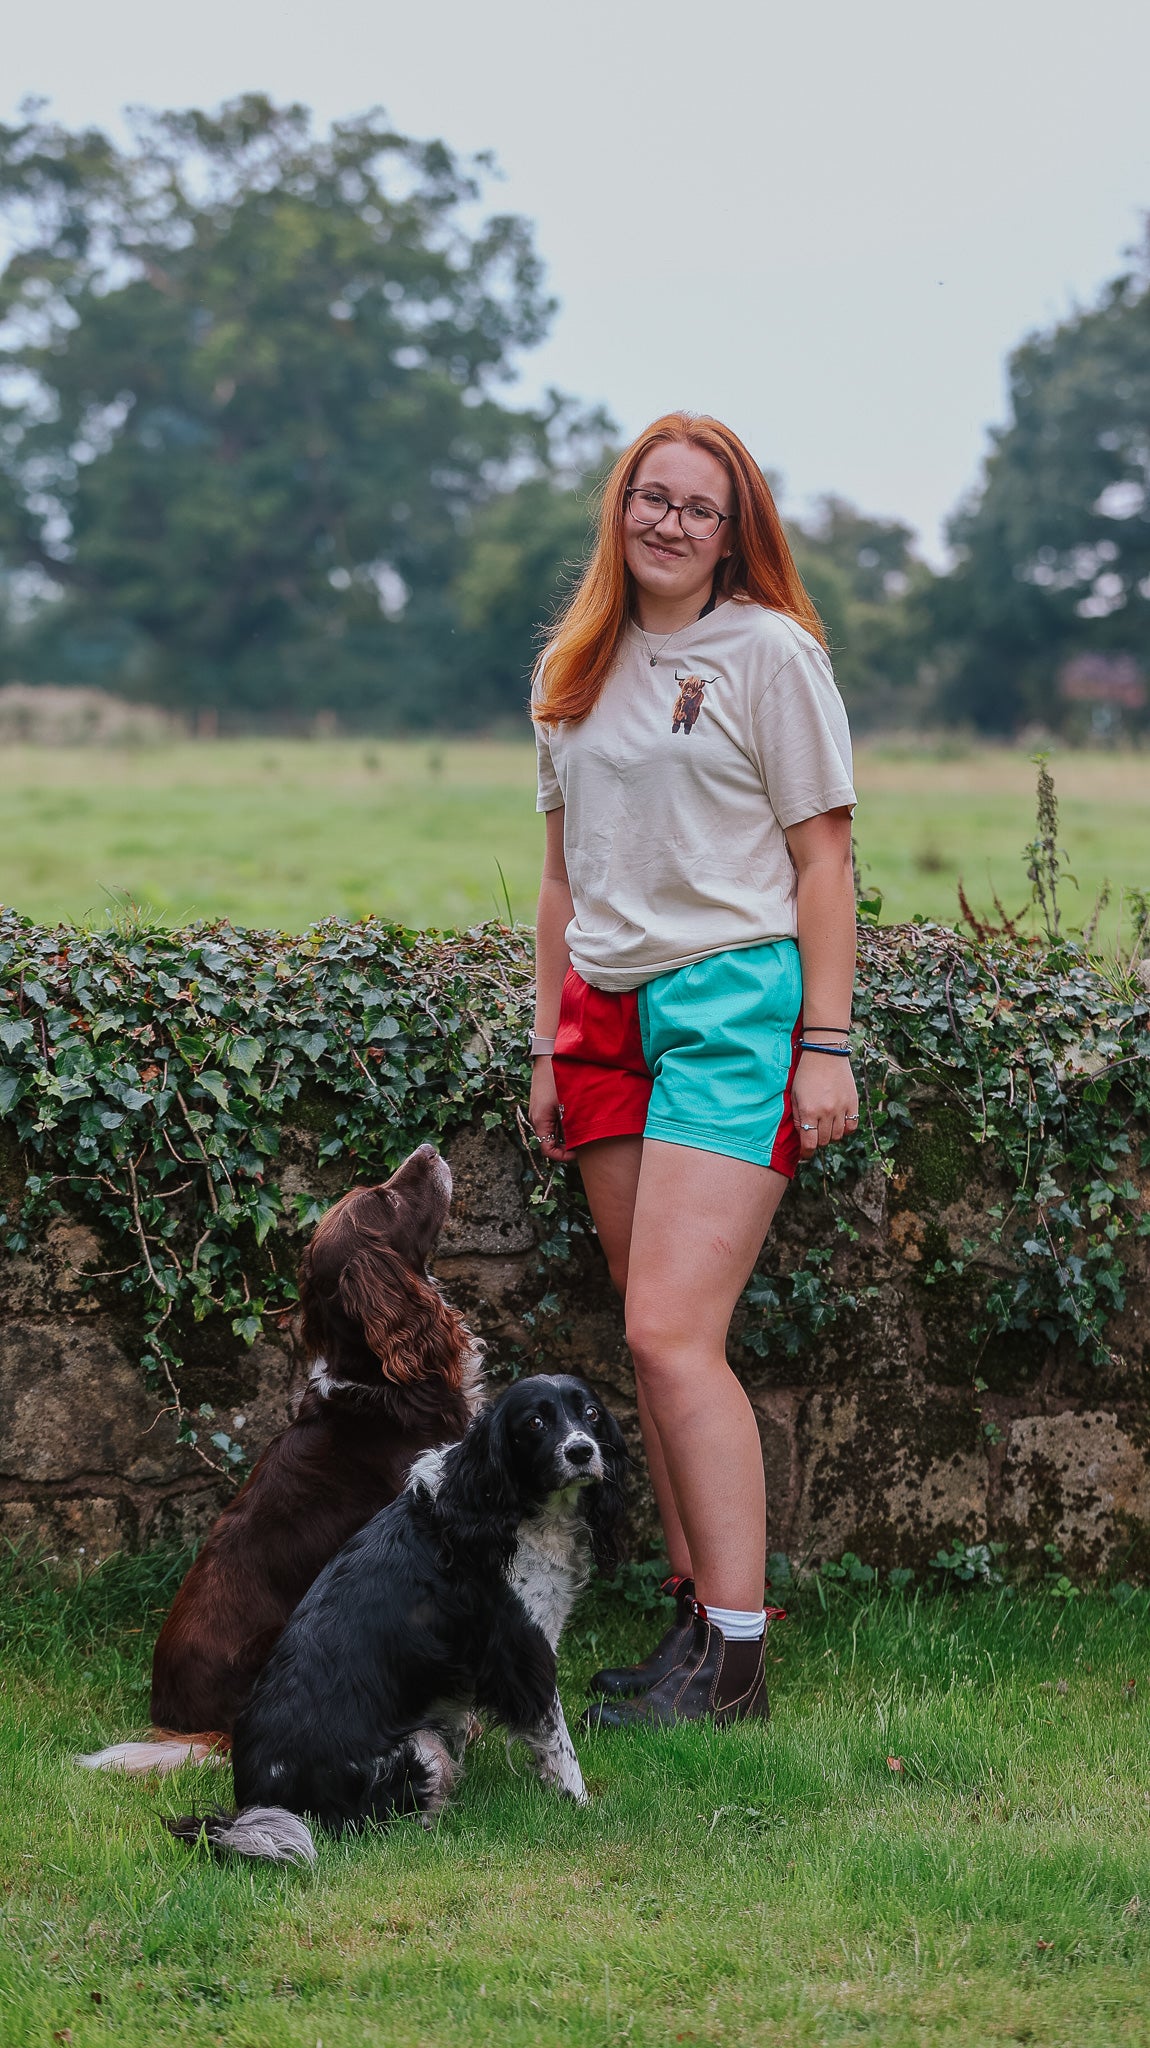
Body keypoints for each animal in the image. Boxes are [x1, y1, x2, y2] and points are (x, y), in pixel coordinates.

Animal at [167, 1376, 626, 1875]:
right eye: (535, 1422)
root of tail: (257, 1802)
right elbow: (559, 1748)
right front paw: (581, 1806)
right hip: (418, 1748)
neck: (496, 1506)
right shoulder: (522, 1655)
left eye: (591, 1414)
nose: (581, 1451)